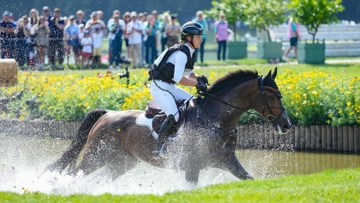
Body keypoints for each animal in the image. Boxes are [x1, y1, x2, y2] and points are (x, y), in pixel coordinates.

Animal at [45, 68, 292, 184]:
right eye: (272, 97)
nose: (287, 124)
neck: (216, 119)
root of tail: (107, 114)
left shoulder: (227, 160)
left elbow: (248, 178)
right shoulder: (191, 167)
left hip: (121, 164)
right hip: (95, 156)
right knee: (74, 173)